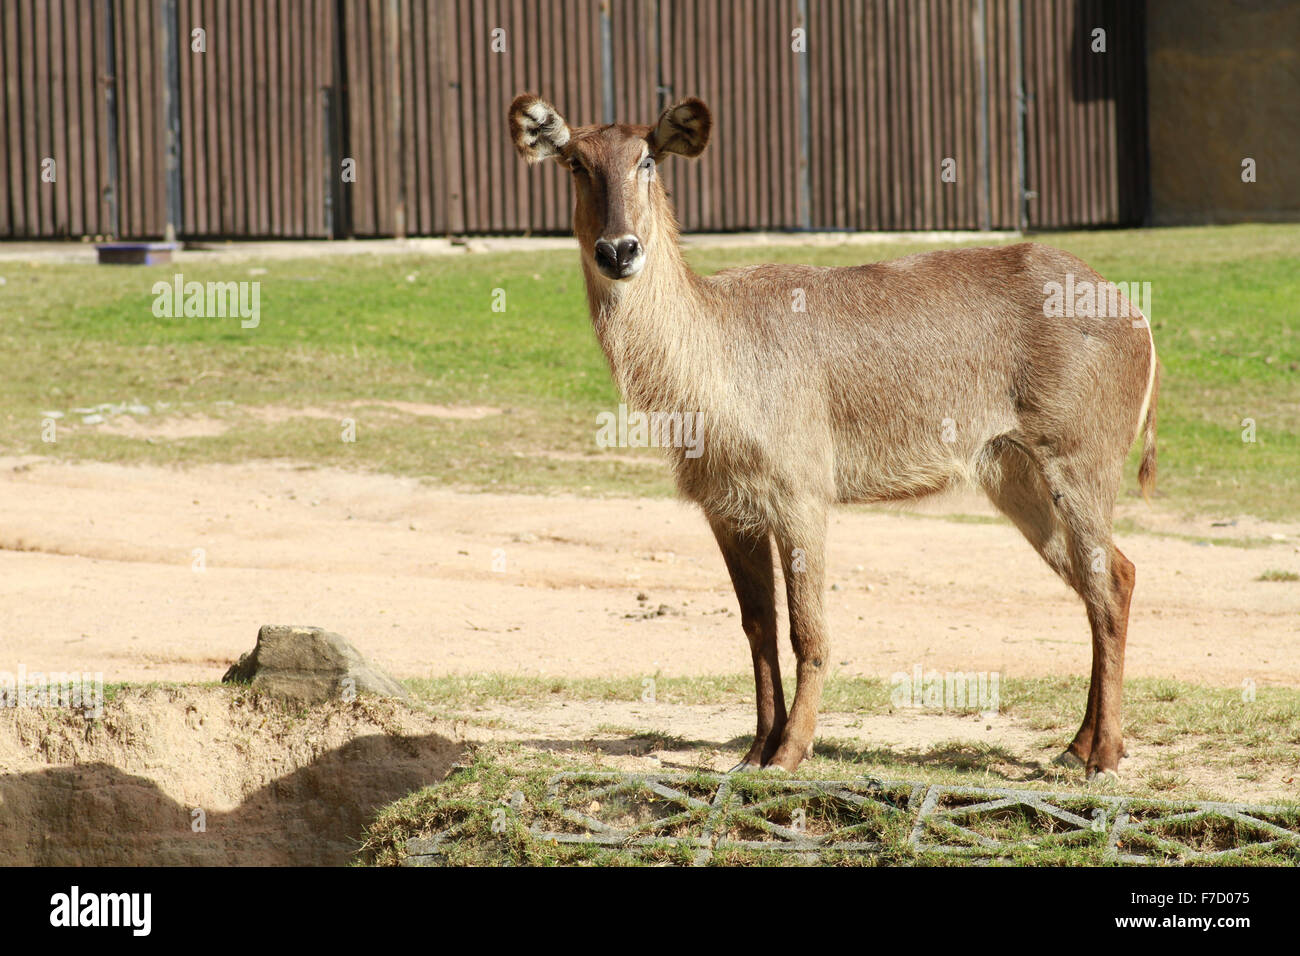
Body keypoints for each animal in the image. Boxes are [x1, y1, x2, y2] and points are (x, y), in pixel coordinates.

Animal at [506, 91, 1159, 780]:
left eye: (648, 159)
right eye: (576, 163)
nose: (619, 250)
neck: (715, 359)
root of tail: (1136, 314)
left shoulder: (801, 495)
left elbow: (808, 630)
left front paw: (789, 753)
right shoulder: (727, 509)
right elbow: (757, 627)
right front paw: (752, 753)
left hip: (1078, 464)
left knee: (1109, 584)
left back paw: (1104, 756)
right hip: (1016, 477)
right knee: (1106, 576)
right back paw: (1076, 745)